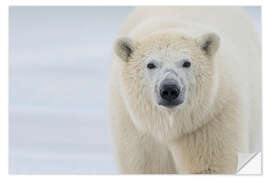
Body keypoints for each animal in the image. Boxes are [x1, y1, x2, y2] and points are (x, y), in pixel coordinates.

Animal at [108, 7, 260, 174]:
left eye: (186, 63)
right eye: (150, 64)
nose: (169, 89)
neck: (170, 126)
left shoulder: (209, 120)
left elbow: (212, 166)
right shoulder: (137, 131)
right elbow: (145, 167)